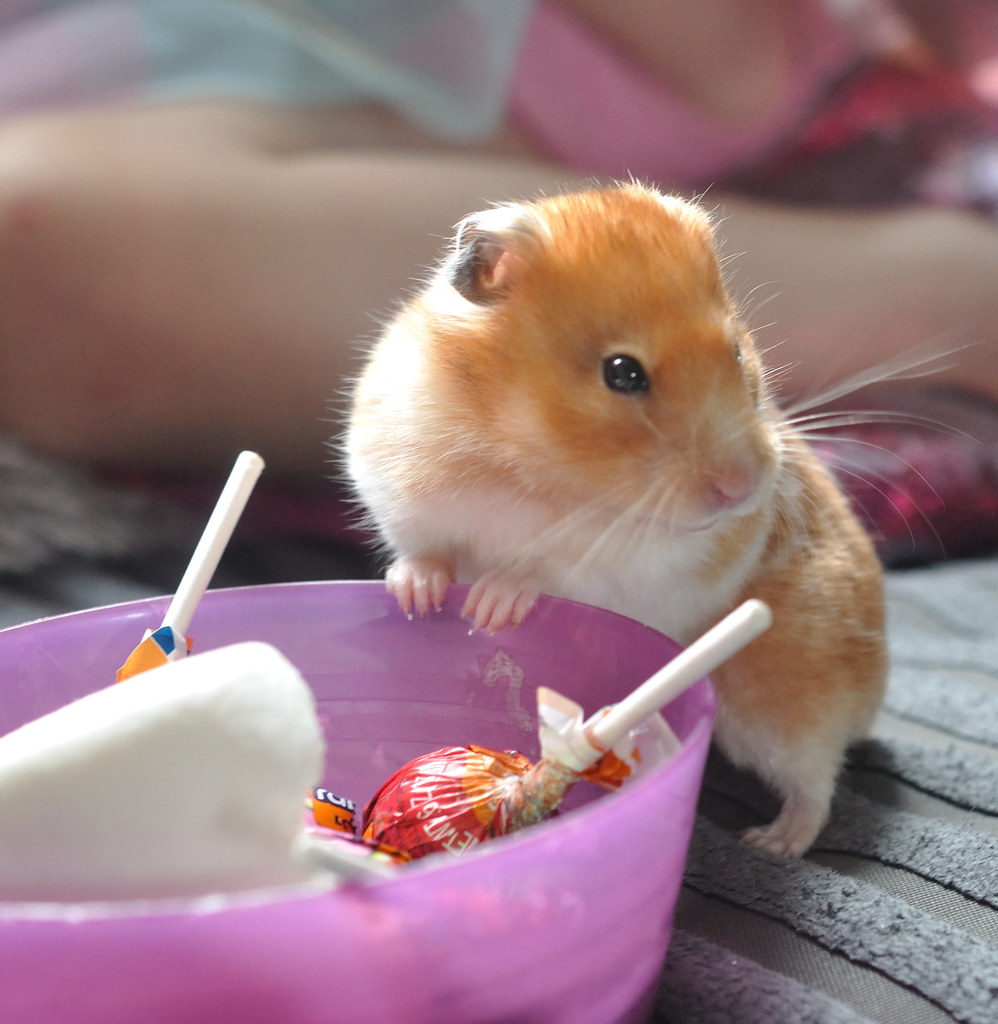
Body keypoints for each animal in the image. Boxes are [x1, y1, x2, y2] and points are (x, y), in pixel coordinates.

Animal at [345, 182, 886, 857]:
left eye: (737, 350)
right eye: (622, 372)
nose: (744, 490)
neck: (524, 453)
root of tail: (874, 689)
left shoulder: (630, 562)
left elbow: (545, 569)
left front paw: (490, 609)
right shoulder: (393, 482)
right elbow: (423, 550)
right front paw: (417, 597)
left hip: (785, 702)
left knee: (817, 782)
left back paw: (770, 841)